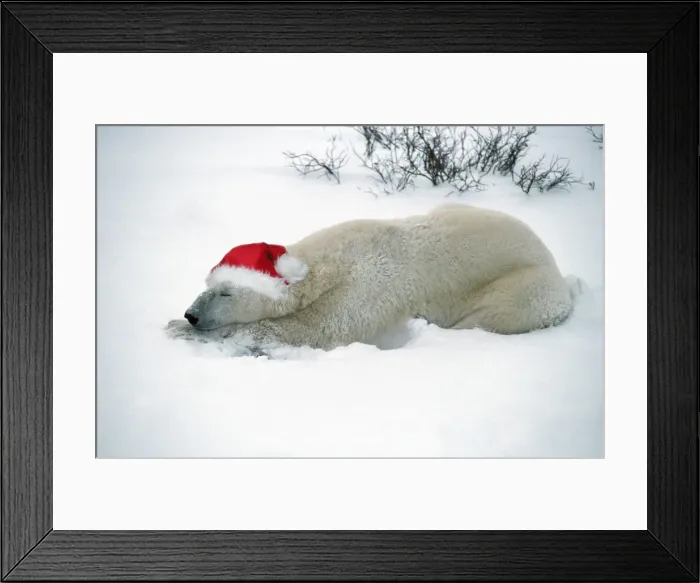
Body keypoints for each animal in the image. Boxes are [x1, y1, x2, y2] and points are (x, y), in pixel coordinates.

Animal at [165, 203, 582, 352]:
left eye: (226, 293)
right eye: (209, 286)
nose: (192, 314)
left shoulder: (373, 282)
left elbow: (321, 326)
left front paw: (178, 330)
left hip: (523, 288)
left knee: (490, 315)